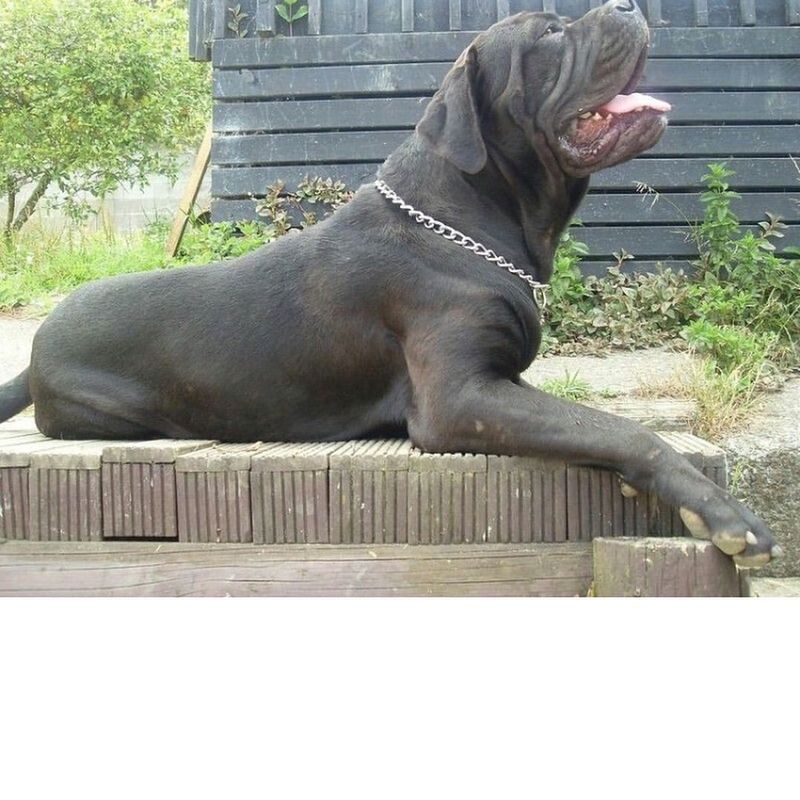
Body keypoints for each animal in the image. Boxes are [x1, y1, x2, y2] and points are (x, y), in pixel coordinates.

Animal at [0, 0, 776, 564]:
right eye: (552, 31)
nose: (628, 3)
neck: (471, 218)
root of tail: (34, 352)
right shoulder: (460, 397)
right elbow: (623, 429)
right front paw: (726, 516)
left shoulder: (499, 382)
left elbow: (600, 422)